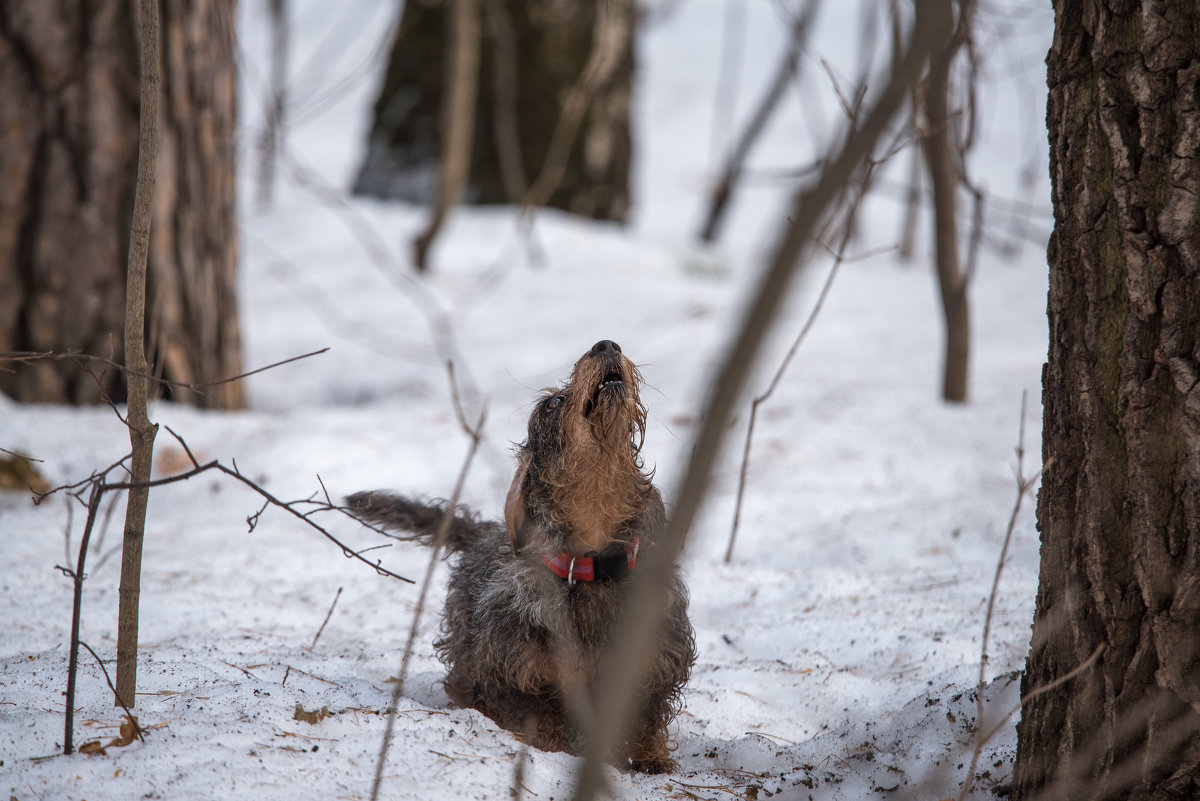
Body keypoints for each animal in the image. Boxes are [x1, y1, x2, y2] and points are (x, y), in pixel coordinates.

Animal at [350, 340, 696, 772]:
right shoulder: (517, 675)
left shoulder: (655, 664)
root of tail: (484, 530)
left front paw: (652, 761)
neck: (592, 566)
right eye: (552, 403)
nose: (606, 344)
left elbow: (645, 719)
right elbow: (539, 721)